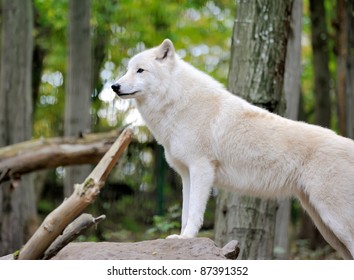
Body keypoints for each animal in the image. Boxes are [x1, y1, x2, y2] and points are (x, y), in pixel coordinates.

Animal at [112, 38, 354, 258]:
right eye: (127, 70)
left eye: (140, 70)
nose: (114, 86)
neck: (176, 101)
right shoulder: (186, 174)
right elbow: (184, 212)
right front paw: (181, 238)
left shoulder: (201, 169)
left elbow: (194, 212)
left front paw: (187, 237)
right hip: (325, 225)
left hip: (334, 220)